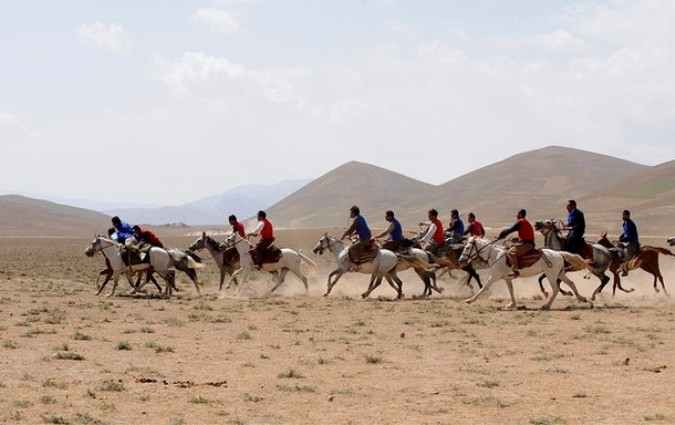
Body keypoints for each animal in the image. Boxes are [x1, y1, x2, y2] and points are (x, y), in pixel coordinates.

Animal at [456, 235, 596, 308]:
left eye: (467, 247)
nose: (461, 260)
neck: (495, 255)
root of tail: (559, 253)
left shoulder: (494, 277)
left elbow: (483, 288)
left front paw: (470, 300)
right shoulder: (506, 278)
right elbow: (511, 291)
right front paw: (512, 304)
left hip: (551, 275)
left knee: (556, 289)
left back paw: (546, 305)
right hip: (560, 273)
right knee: (571, 284)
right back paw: (584, 300)